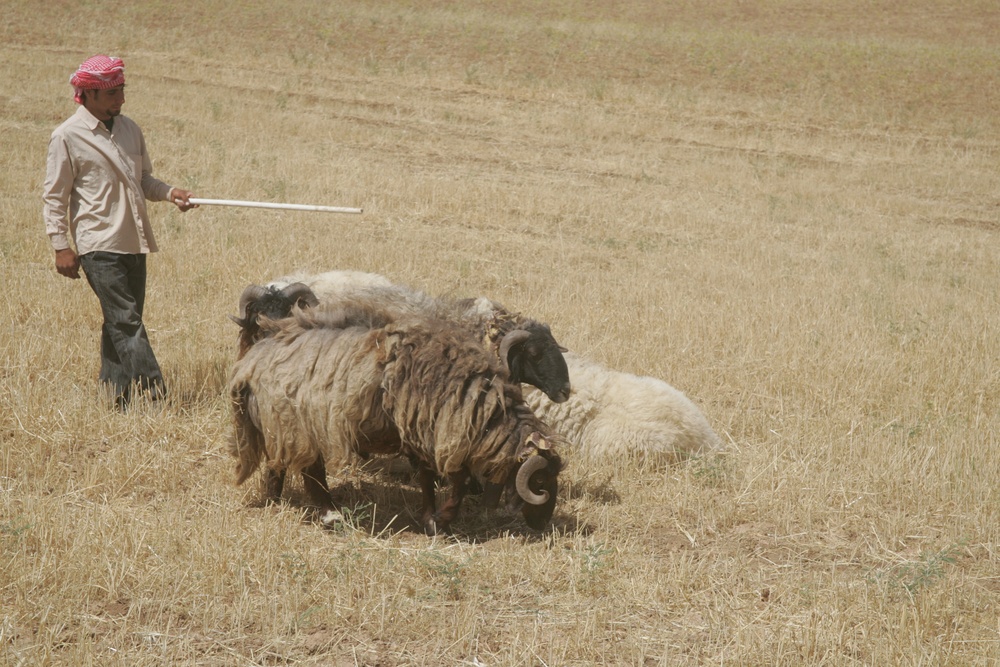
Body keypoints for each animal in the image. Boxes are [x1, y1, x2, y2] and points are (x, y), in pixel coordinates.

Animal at [229, 306, 568, 536]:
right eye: (540, 482)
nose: (542, 524)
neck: (481, 405)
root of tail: (251, 363)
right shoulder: (433, 436)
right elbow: (455, 482)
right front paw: (441, 521)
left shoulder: (420, 438)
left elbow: (428, 480)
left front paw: (430, 518)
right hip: (305, 423)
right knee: (312, 472)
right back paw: (331, 515)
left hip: (280, 424)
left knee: (277, 464)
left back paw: (274, 500)